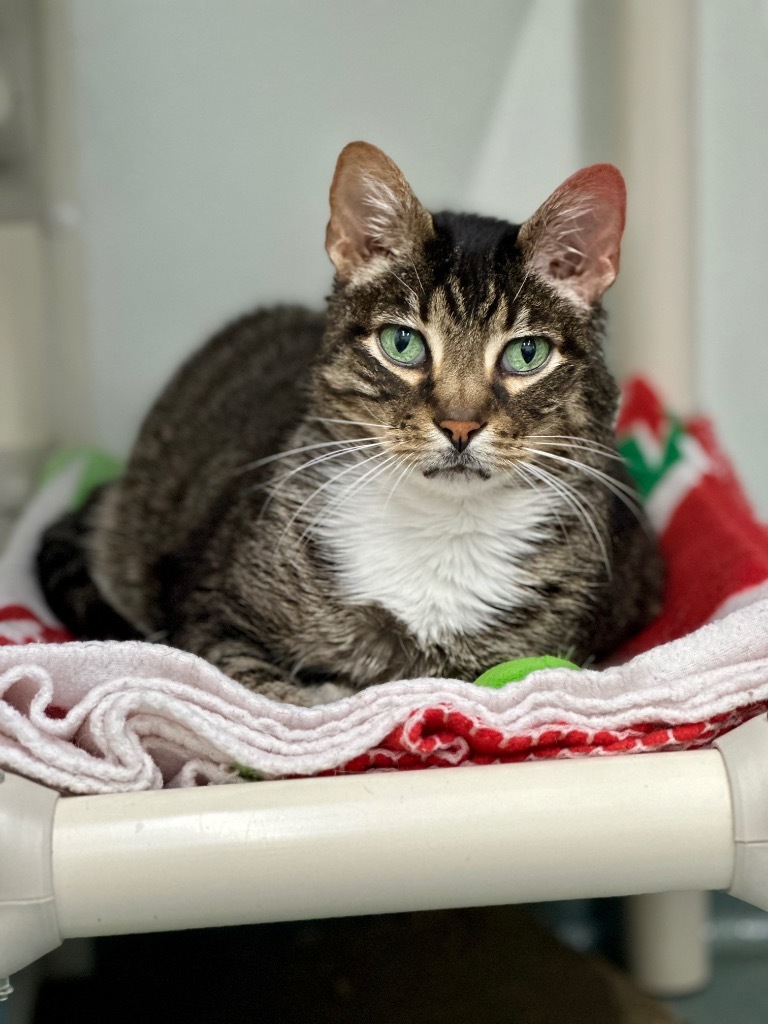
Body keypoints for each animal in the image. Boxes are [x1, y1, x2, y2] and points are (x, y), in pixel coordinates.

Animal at [37, 142, 663, 704]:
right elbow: (263, 695)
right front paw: (318, 695)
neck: (441, 530)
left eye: (526, 354)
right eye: (403, 343)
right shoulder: (208, 613)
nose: (460, 426)